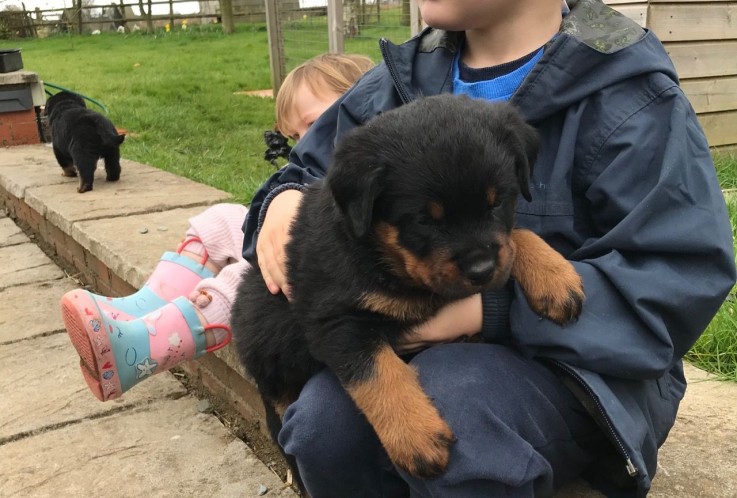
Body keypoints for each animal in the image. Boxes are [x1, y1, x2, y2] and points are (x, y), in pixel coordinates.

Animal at [233, 93, 584, 486]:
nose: (481, 271)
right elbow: (378, 372)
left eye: (497, 202)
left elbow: (514, 237)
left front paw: (555, 276)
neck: (381, 255)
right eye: (424, 220)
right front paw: (416, 437)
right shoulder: (335, 320)